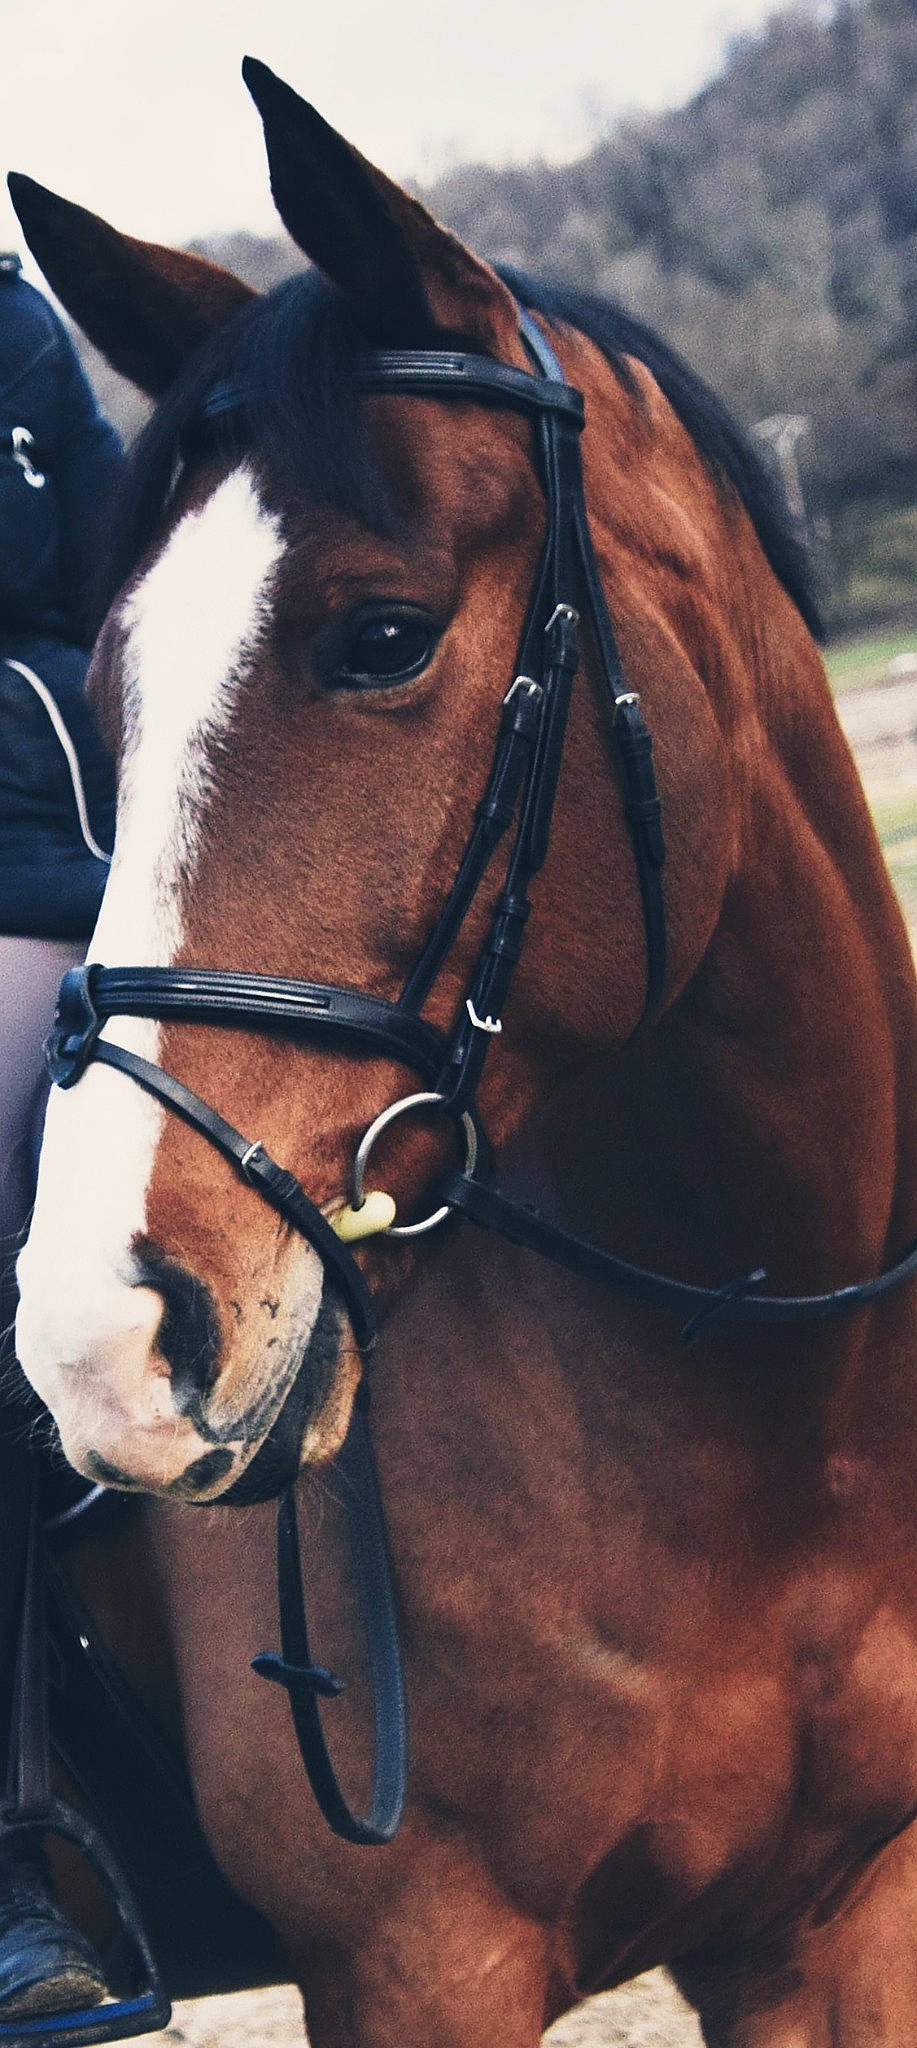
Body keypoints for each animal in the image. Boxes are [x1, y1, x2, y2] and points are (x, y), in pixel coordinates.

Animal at [7, 55, 917, 2048]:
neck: (753, 1403)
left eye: (384, 635)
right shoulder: (423, 1971)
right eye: (106, 691)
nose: (104, 1348)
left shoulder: (829, 1924)